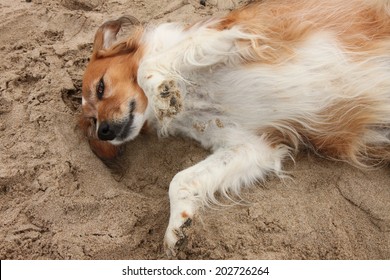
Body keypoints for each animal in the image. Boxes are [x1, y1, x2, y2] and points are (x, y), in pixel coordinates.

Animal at [80, 1, 390, 258]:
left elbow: (148, 65)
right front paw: (177, 226)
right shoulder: (253, 146)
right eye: (92, 121)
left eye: (101, 87)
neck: (193, 92)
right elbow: (180, 179)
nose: (104, 131)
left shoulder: (249, 31)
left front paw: (163, 90)